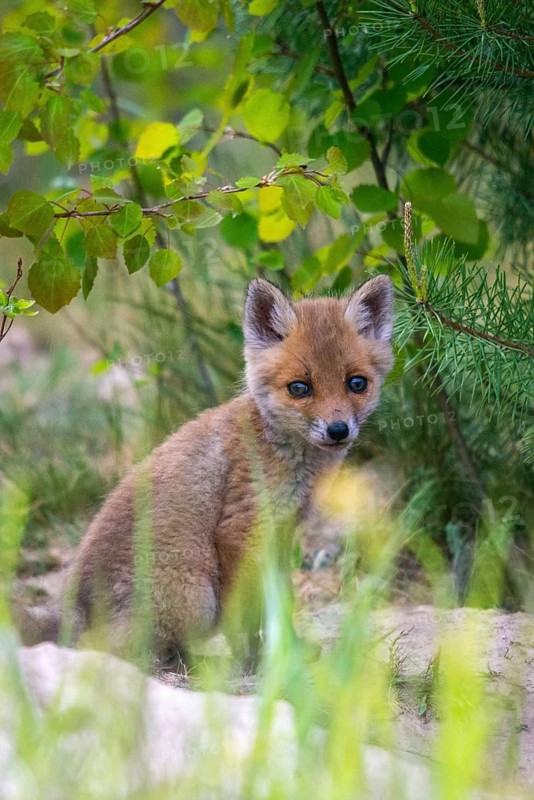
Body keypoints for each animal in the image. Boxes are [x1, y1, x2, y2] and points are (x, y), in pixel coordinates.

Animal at [16, 275, 394, 668]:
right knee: (110, 649)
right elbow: (245, 614)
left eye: (356, 383)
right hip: (196, 597)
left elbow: (281, 601)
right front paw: (252, 659)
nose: (338, 430)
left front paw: (288, 652)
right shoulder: (238, 529)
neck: (281, 451)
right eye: (299, 388)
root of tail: (74, 608)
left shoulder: (281, 531)